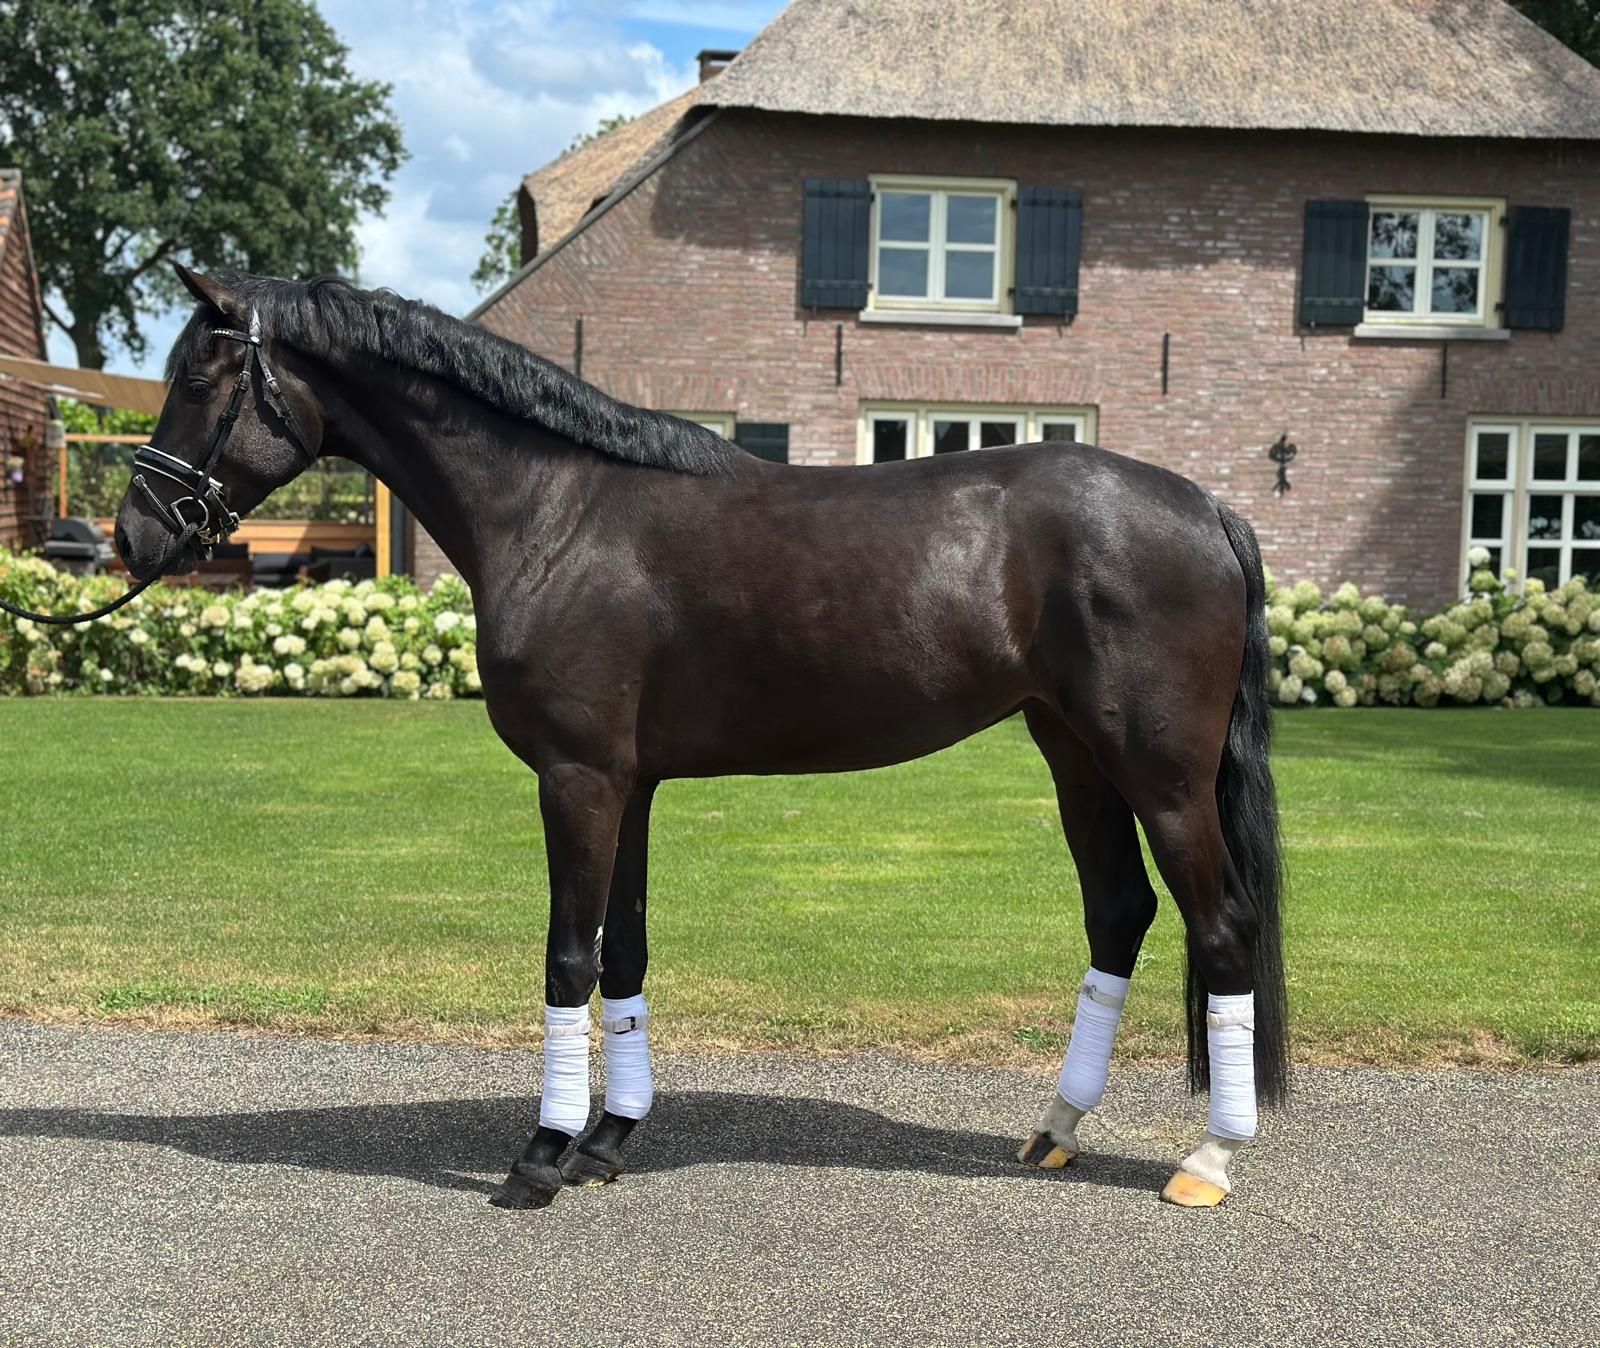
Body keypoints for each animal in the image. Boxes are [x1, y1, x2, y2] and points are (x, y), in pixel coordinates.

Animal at [115, 264, 1288, 1212]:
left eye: (200, 380)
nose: (133, 534)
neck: (557, 511)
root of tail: (1207, 508)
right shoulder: (628, 785)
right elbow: (623, 952)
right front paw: (607, 1139)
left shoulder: (578, 779)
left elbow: (566, 957)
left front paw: (541, 1157)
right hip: (1073, 754)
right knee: (1120, 914)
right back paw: (1055, 1130)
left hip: (1160, 773)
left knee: (1222, 925)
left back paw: (1209, 1158)